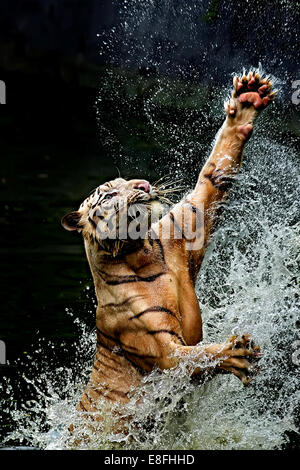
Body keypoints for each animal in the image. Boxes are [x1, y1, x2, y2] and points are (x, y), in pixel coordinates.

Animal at [61, 70, 276, 434]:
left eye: (128, 181)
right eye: (108, 195)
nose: (144, 185)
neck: (141, 252)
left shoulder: (184, 225)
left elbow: (213, 174)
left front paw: (247, 101)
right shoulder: (164, 351)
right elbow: (195, 356)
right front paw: (235, 354)